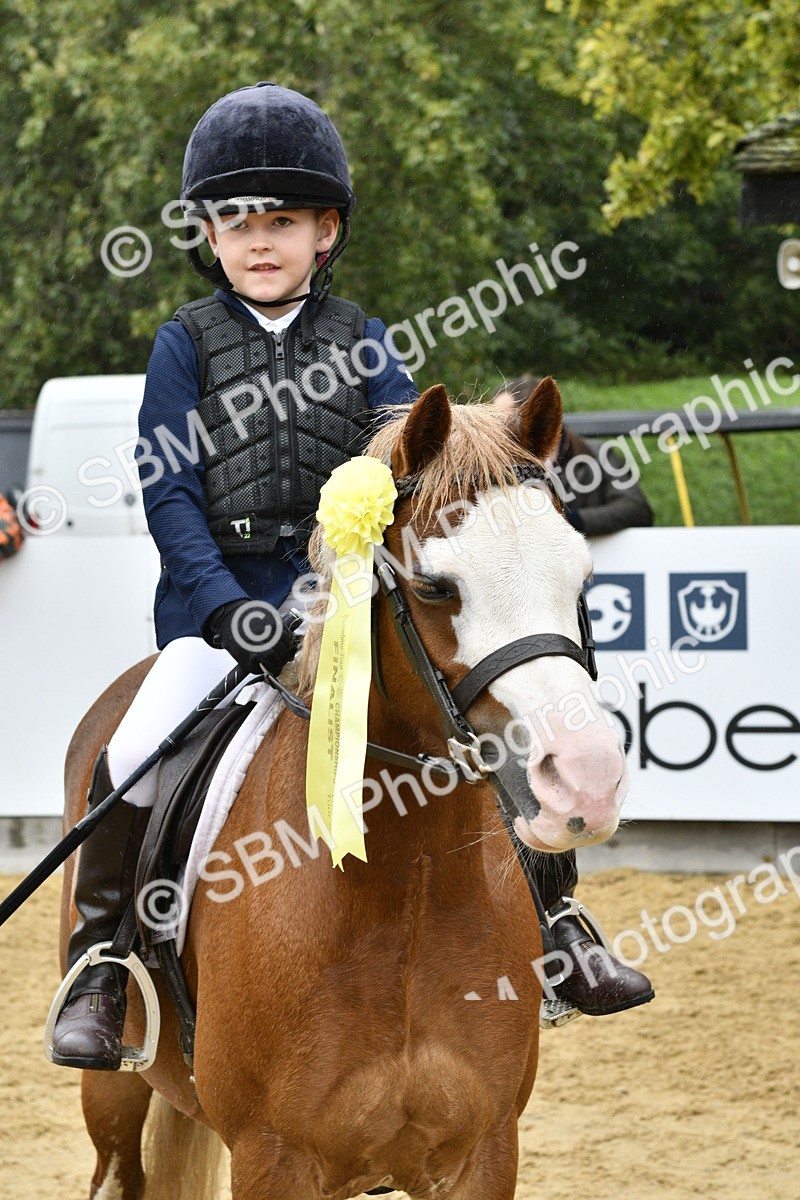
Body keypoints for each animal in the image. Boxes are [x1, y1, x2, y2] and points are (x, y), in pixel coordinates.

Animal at [59, 377, 628, 1200]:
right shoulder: (273, 1159)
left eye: (580, 577)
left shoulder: (485, 1151)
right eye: (435, 586)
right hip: (112, 1091)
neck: (407, 891)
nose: (586, 781)